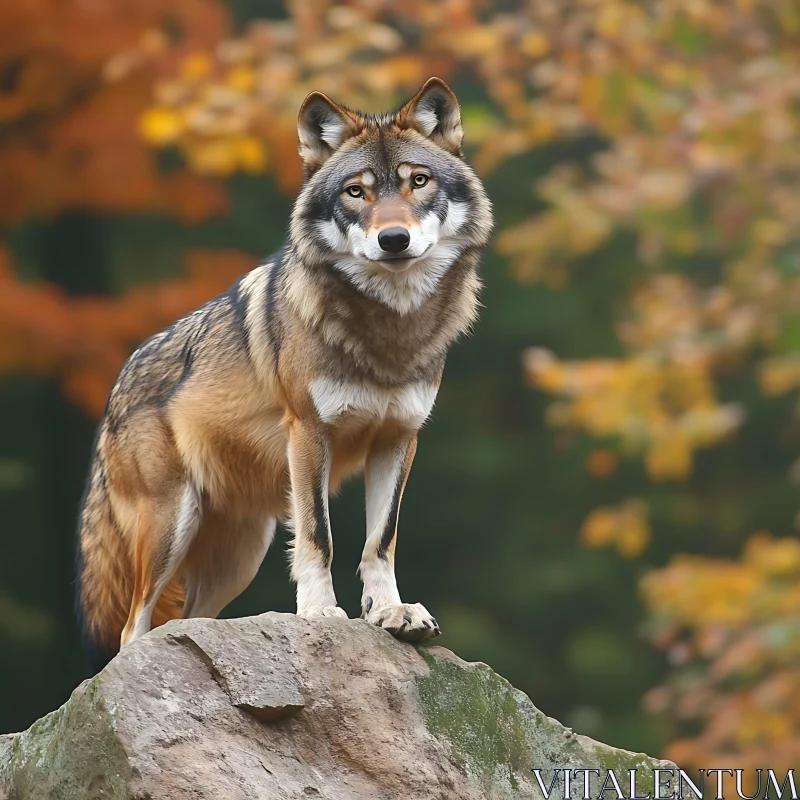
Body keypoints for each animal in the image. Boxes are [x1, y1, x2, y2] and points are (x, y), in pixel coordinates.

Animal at [79, 76, 494, 664]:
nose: (394, 239)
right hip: (170, 527)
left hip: (239, 557)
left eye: (419, 181)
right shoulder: (309, 432)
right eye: (356, 192)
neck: (388, 334)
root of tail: (118, 383)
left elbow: (381, 539)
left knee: (186, 621)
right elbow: (320, 535)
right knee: (132, 630)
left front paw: (391, 613)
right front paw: (320, 613)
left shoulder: (399, 438)